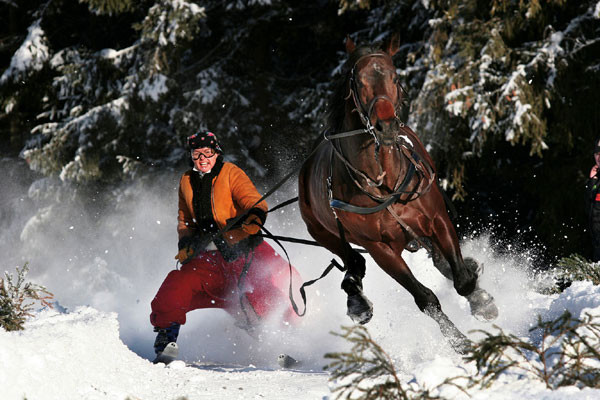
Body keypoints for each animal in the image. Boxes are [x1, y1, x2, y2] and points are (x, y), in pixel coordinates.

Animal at [298, 35, 500, 354]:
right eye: (359, 82)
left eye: (394, 77)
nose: (386, 126)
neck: (385, 183)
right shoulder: (381, 248)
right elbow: (425, 299)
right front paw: (460, 342)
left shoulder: (437, 220)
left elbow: (461, 279)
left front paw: (481, 300)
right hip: (324, 234)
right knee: (353, 263)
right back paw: (357, 301)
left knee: (441, 264)